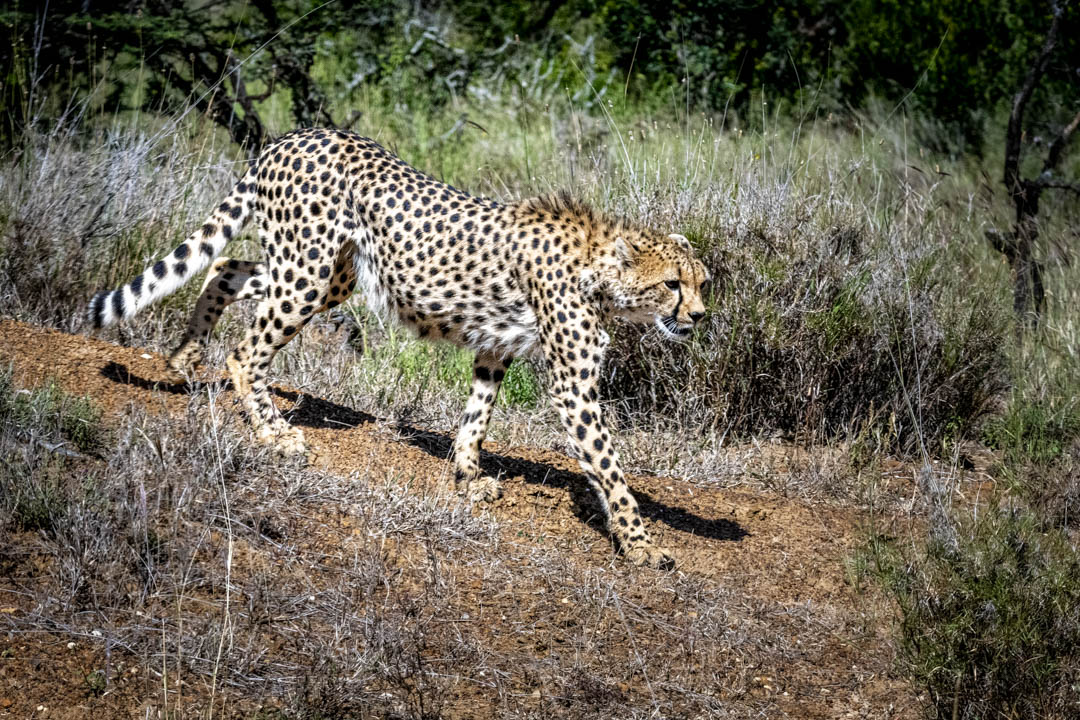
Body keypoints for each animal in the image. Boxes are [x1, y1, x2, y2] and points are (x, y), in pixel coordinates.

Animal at [87, 128, 709, 568]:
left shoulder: (495, 348)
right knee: (246, 353)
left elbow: (477, 414)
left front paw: (467, 475)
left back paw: (187, 354)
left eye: (702, 282)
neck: (601, 271)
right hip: (308, 273)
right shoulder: (573, 385)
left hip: (324, 274)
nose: (699, 317)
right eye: (672, 284)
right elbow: (609, 468)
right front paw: (640, 544)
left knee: (226, 267)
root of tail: (296, 134)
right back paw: (273, 433)